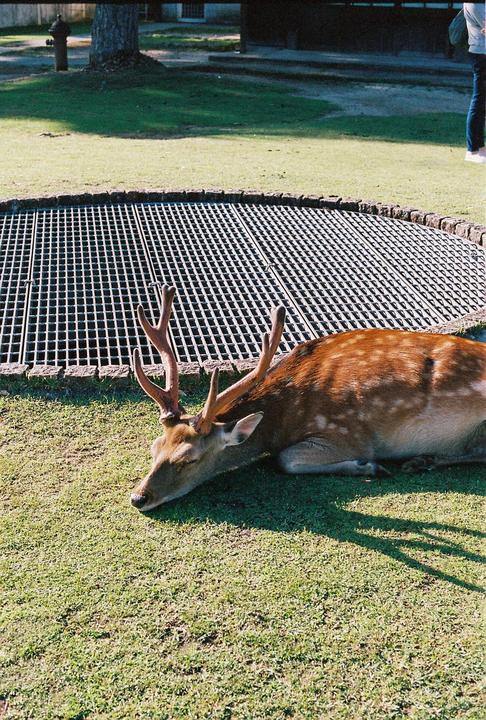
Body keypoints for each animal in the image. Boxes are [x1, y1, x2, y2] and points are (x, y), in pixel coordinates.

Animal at [130, 286, 486, 511]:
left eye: (189, 459)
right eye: (154, 448)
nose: (138, 498)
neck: (283, 418)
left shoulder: (347, 432)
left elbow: (284, 460)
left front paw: (368, 466)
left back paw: (424, 460)